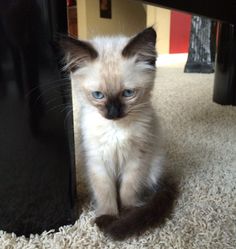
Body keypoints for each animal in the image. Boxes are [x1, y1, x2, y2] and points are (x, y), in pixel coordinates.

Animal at [61, 27, 176, 239]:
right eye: (98, 95)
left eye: (128, 93)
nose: (113, 113)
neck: (115, 130)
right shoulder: (98, 161)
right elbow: (106, 193)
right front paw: (109, 217)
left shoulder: (136, 160)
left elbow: (127, 191)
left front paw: (128, 214)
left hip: (153, 165)